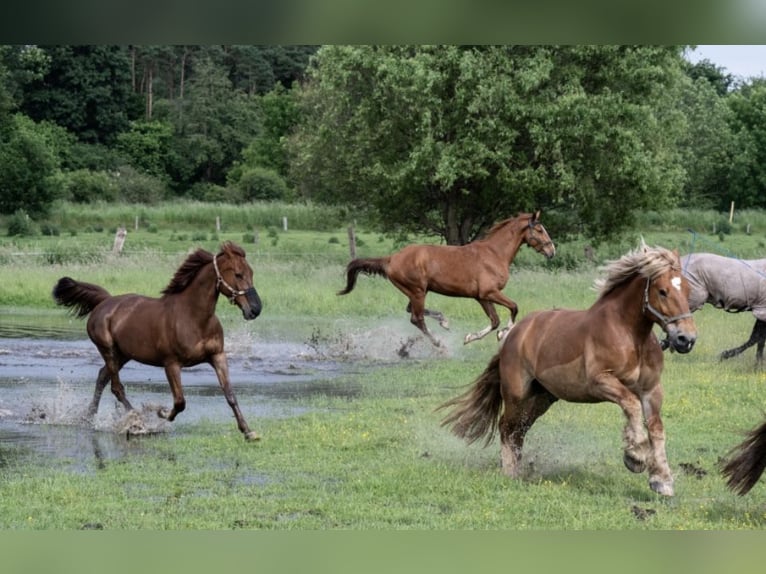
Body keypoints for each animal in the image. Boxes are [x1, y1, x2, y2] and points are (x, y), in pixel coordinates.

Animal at [53, 242, 264, 440]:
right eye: (238, 274)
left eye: (252, 273)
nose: (255, 309)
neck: (194, 318)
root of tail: (105, 301)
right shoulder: (171, 364)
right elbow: (180, 402)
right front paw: (160, 413)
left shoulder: (217, 356)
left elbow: (230, 395)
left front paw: (248, 432)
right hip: (108, 351)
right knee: (116, 387)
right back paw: (138, 421)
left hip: (123, 355)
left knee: (102, 378)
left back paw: (89, 418)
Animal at [340, 212, 556, 346]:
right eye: (539, 230)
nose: (552, 251)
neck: (495, 254)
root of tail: (391, 259)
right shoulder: (490, 292)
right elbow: (514, 307)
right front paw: (503, 333)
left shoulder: (482, 297)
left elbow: (494, 320)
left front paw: (469, 337)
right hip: (417, 291)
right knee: (416, 318)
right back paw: (438, 343)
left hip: (416, 292)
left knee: (412, 311)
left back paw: (444, 321)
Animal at [440, 243, 700, 496]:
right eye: (662, 291)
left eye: (688, 290)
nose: (686, 339)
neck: (629, 334)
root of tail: (513, 333)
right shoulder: (600, 382)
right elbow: (631, 405)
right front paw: (635, 457)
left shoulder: (651, 390)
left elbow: (656, 429)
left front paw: (661, 480)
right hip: (516, 394)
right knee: (506, 427)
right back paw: (510, 472)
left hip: (541, 398)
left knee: (519, 431)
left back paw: (518, 468)